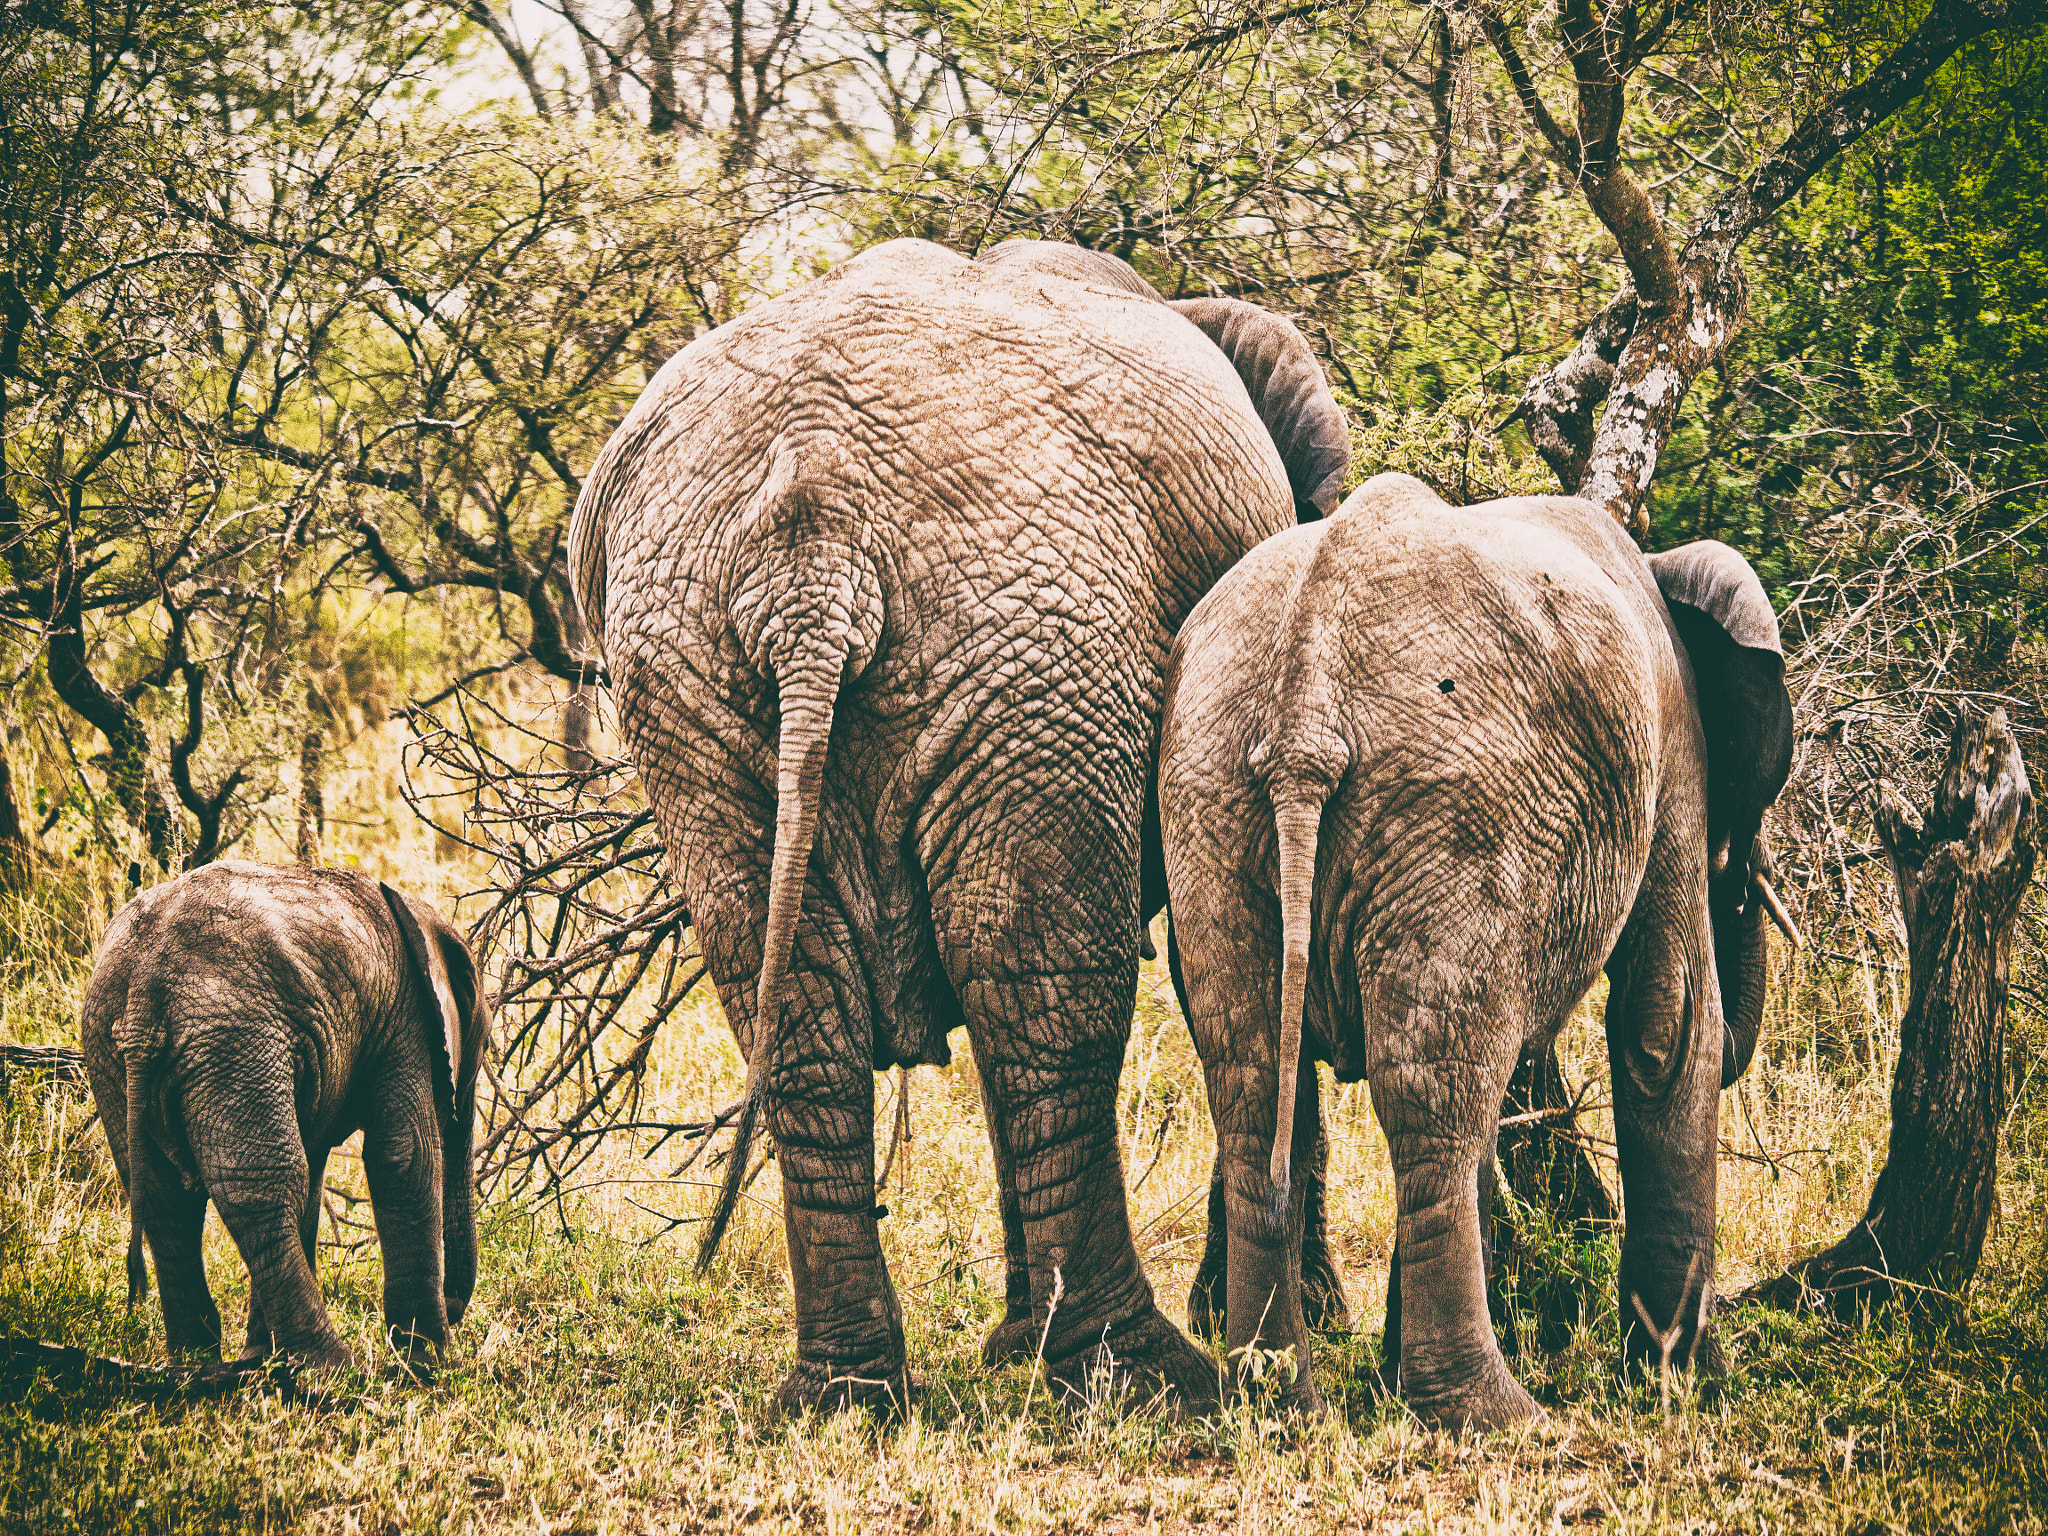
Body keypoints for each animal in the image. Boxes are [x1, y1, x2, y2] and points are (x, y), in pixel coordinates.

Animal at [80, 861, 491, 1373]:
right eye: (482, 1047)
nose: (455, 1308)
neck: (422, 916)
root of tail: (144, 990)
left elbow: (318, 1174)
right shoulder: (405, 1019)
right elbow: (403, 1157)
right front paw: (429, 1365)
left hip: (115, 1046)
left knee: (166, 1197)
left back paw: (202, 1364)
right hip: (233, 1040)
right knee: (265, 1185)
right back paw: (330, 1366)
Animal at [566, 236, 1350, 1415]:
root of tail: (814, 539)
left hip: (685, 668)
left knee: (798, 988)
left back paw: (848, 1392)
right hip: (1036, 642)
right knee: (1038, 977)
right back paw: (1143, 1378)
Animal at [1157, 473, 1795, 1427]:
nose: (1749, 875)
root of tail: (1306, 700)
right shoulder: (1674, 747)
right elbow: (1666, 1022)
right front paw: (1687, 1385)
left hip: (1209, 789)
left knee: (1252, 1078)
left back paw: (1278, 1401)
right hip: (1455, 805)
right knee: (1436, 1092)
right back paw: (1494, 1413)